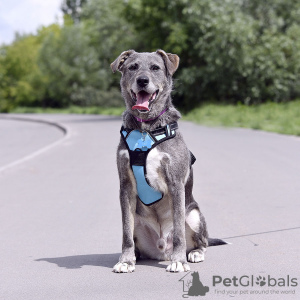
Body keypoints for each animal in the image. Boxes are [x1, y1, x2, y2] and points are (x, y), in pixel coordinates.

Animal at [110, 49, 225, 274]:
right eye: (133, 67)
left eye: (155, 68)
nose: (142, 80)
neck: (146, 129)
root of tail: (162, 250)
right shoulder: (125, 186)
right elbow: (126, 231)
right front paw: (126, 261)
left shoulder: (175, 183)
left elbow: (179, 230)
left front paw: (179, 260)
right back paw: (136, 256)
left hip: (194, 214)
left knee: (202, 241)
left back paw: (194, 253)